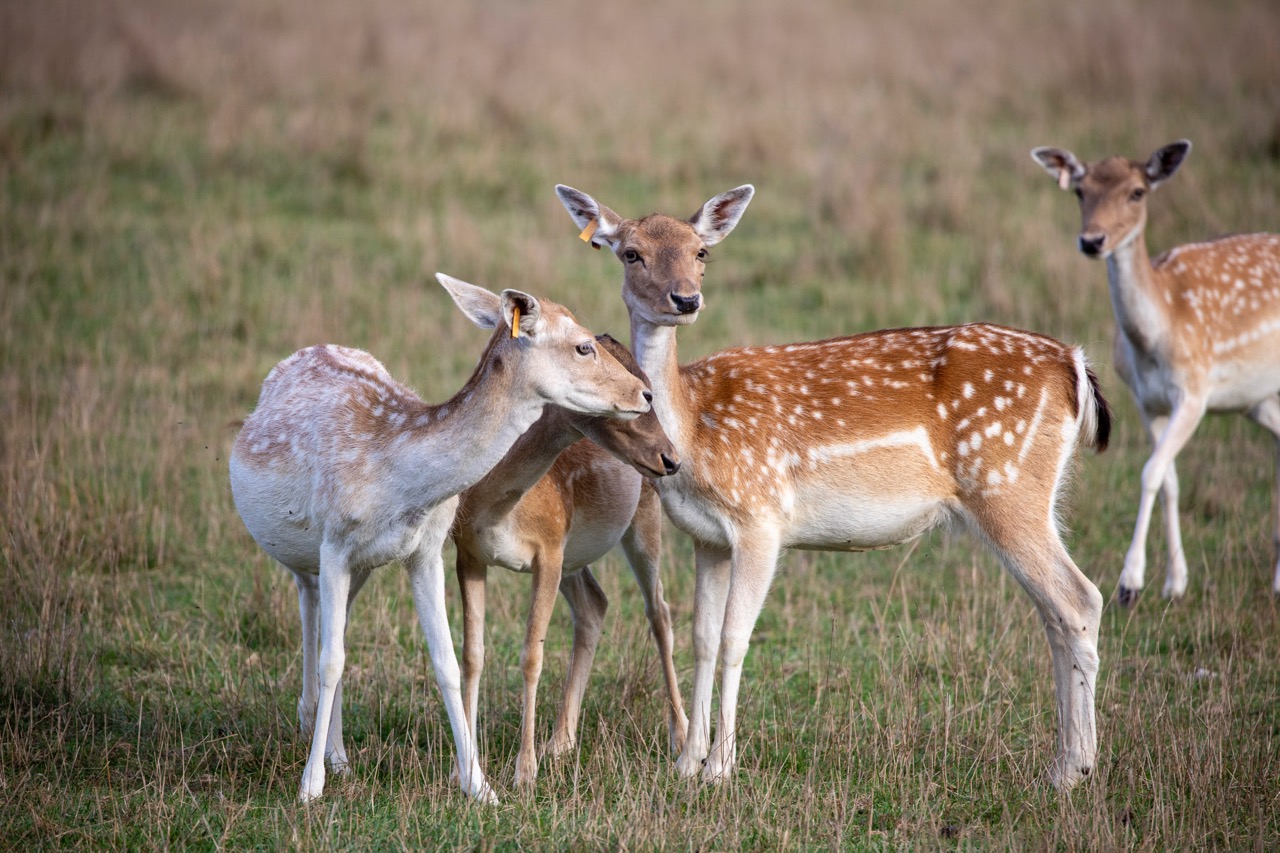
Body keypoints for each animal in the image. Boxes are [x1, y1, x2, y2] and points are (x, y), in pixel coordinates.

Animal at [225, 274, 655, 804]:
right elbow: (333, 661)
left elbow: (447, 661)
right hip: (308, 553)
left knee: (333, 622)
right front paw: (309, 788)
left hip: (362, 567)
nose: (644, 393)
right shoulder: (335, 543)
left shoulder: (426, 550)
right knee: (313, 610)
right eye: (583, 346)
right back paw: (317, 737)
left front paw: (480, 786)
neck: (397, 481)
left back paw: (338, 755)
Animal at [453, 330, 691, 783]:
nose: (671, 459)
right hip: (574, 556)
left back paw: (683, 737)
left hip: (642, 521)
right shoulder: (466, 554)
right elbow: (472, 656)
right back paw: (560, 742)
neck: (497, 509)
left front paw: (524, 772)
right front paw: (468, 770)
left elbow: (532, 655)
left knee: (660, 612)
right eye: (641, 396)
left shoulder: (547, 548)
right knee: (595, 604)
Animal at [558, 183, 1111, 788]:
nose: (685, 300)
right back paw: (1071, 762)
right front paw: (685, 764)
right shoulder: (707, 538)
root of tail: (1076, 366)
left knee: (1079, 599)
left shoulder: (761, 517)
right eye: (631, 253)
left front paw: (720, 768)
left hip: (1006, 486)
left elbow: (734, 638)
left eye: (700, 252)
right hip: (1026, 493)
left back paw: (1070, 771)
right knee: (1056, 612)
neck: (695, 431)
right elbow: (702, 638)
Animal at [1029, 139, 1280, 601]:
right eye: (1080, 191)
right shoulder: (1146, 401)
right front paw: (1174, 582)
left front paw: (1130, 581)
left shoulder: (1195, 393)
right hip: (1256, 398)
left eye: (1137, 192)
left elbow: (1149, 472)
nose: (1093, 240)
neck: (1154, 339)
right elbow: (1168, 479)